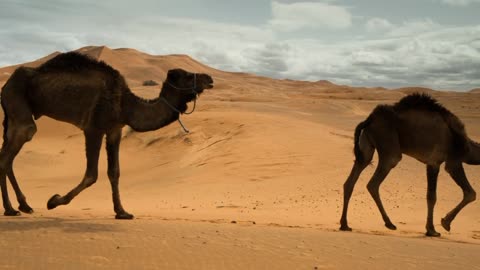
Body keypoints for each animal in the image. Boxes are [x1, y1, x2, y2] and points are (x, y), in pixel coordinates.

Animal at [0, 52, 214, 219]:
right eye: (188, 76)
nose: (210, 79)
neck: (126, 104)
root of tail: (5, 85)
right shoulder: (94, 128)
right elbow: (91, 174)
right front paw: (53, 201)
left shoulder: (114, 130)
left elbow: (114, 172)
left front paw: (122, 212)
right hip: (18, 106)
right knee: (13, 149)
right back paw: (11, 209)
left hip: (13, 117)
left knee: (7, 155)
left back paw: (24, 206)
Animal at [340, 94, 478, 237]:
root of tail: (369, 119)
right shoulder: (446, 161)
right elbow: (466, 194)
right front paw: (440, 226)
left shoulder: (433, 162)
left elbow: (432, 196)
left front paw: (432, 228)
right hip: (389, 145)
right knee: (374, 182)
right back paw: (389, 223)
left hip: (366, 145)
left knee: (352, 178)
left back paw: (345, 225)